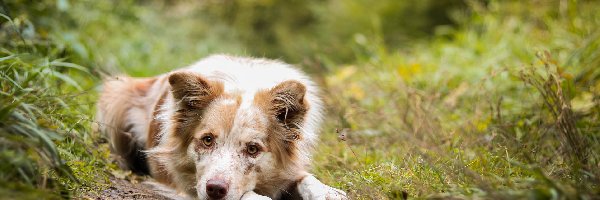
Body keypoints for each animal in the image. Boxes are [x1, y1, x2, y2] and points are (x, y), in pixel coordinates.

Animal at [96, 54, 344, 199]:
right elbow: (248, 195)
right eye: (207, 140)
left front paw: (330, 192)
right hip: (116, 96)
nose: (215, 190)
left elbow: (307, 179)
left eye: (253, 149)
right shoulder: (187, 185)